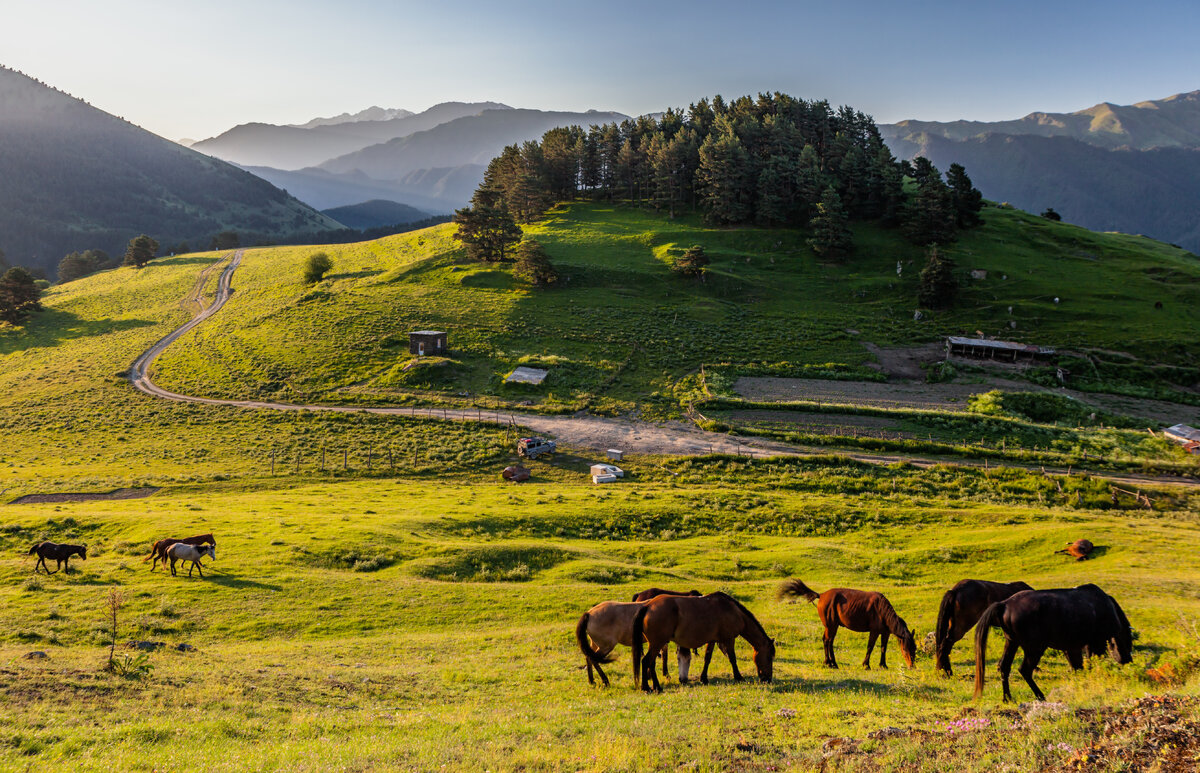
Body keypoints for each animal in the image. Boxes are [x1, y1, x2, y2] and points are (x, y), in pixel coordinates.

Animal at [628, 592, 777, 696]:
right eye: (769, 657)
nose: (768, 679)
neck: (733, 611)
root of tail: (648, 606)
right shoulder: (729, 639)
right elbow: (732, 659)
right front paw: (739, 677)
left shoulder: (712, 640)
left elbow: (707, 658)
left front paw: (704, 678)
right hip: (657, 643)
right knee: (646, 661)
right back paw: (647, 688)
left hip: (655, 644)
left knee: (651, 663)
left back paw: (656, 687)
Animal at [782, 580, 912, 672]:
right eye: (905, 650)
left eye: (914, 649)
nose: (912, 666)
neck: (881, 610)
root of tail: (821, 595)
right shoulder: (874, 632)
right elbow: (870, 647)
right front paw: (866, 665)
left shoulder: (885, 633)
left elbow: (883, 648)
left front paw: (883, 665)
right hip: (831, 626)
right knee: (828, 641)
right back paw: (830, 663)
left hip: (831, 626)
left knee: (828, 641)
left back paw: (830, 663)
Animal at [969, 583, 1128, 705]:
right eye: (1127, 641)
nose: (1127, 661)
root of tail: (1005, 604)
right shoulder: (1094, 643)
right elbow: (1086, 664)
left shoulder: (1073, 647)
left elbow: (1080, 666)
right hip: (1035, 648)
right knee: (1025, 670)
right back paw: (1040, 696)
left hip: (1012, 643)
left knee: (1004, 667)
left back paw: (1007, 698)